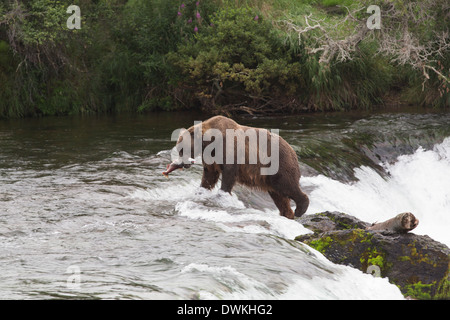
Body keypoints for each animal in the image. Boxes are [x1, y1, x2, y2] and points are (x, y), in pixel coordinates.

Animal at [164, 115, 310, 220]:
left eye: (182, 149)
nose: (183, 163)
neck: (210, 142)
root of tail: (293, 151)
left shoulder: (229, 150)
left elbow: (228, 174)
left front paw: (223, 194)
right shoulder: (211, 158)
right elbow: (209, 175)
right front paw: (201, 190)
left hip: (278, 165)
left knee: (287, 185)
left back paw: (300, 209)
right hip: (269, 176)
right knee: (279, 196)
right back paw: (287, 214)